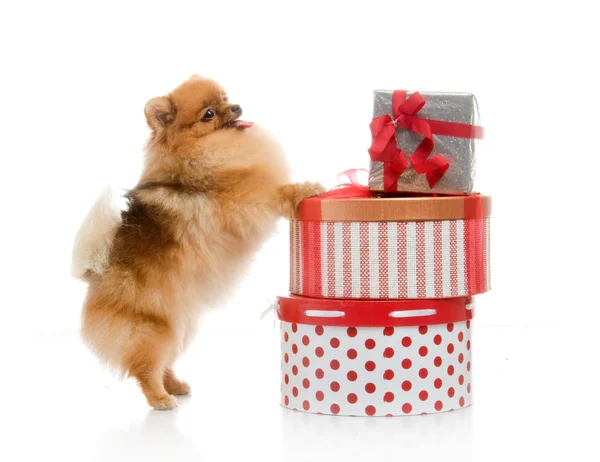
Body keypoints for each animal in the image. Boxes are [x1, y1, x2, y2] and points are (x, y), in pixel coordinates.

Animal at [73, 75, 326, 408]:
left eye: (225, 98)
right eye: (208, 114)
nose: (237, 106)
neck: (205, 152)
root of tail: (95, 273)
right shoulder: (248, 202)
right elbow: (278, 192)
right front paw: (306, 188)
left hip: (179, 327)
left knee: (163, 363)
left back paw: (176, 386)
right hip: (153, 329)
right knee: (145, 368)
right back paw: (160, 399)